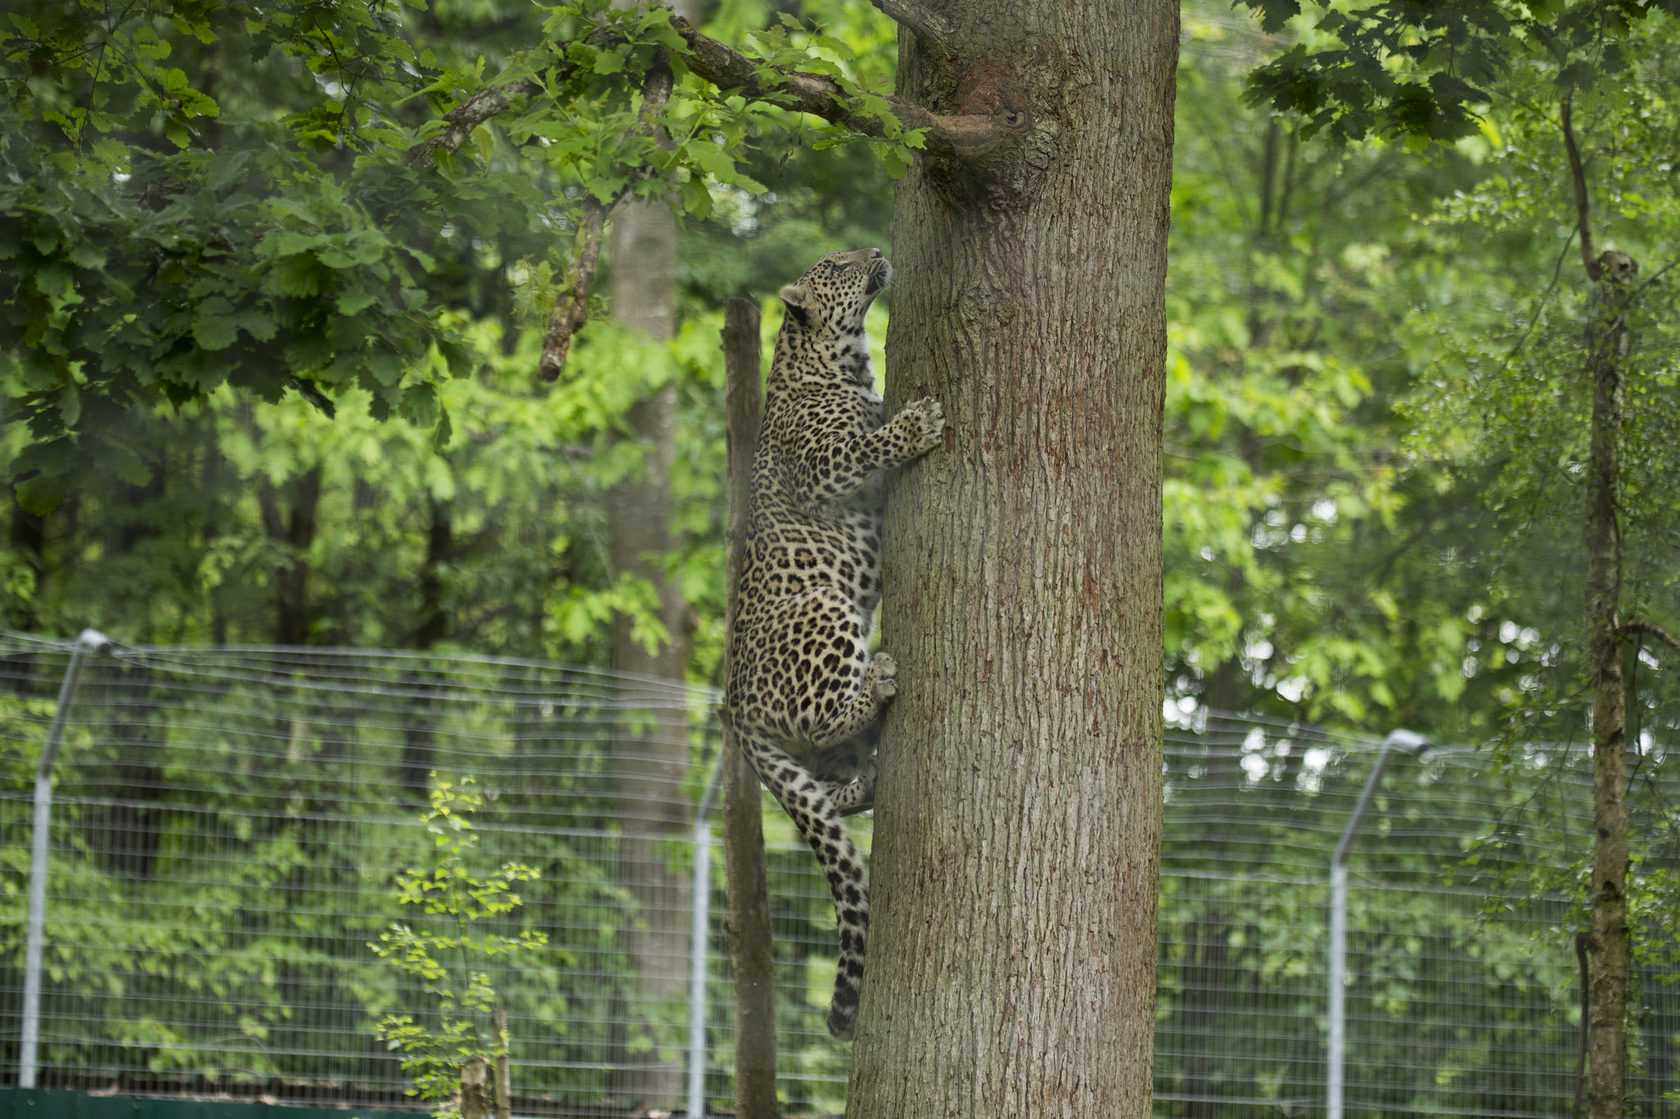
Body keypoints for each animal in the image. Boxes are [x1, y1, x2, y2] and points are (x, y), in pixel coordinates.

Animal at [722, 243, 947, 1034]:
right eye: (837, 263)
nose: (876, 250)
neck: (832, 359)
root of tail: (733, 709)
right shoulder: (828, 463)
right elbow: (871, 443)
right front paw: (918, 424)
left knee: (833, 789)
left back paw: (868, 775)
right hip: (823, 604)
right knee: (827, 718)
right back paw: (876, 683)